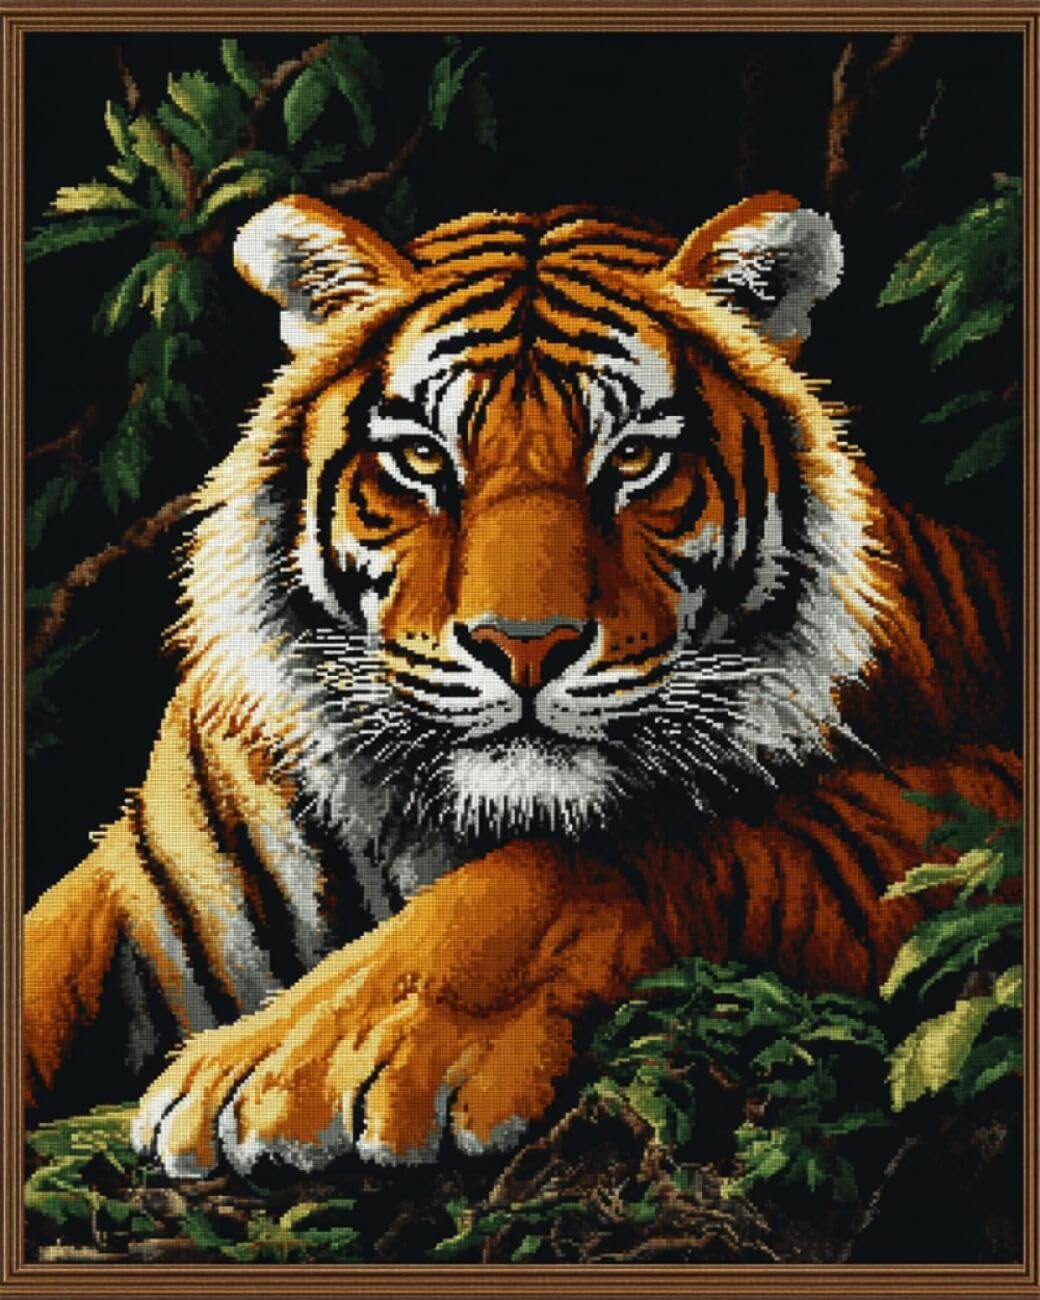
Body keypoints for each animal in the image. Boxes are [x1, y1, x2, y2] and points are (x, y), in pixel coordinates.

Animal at [24, 191, 1019, 1177]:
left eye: (633, 460)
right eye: (424, 459)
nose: (526, 647)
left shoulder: (968, 791)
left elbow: (594, 857)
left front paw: (289, 1063)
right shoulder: (140, 887)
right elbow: (43, 958)